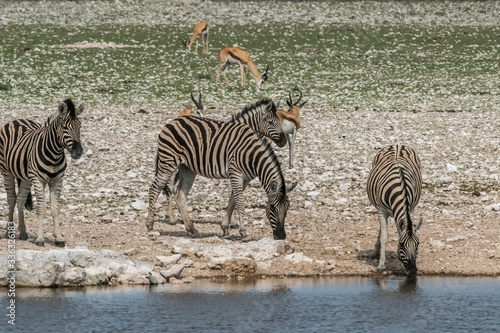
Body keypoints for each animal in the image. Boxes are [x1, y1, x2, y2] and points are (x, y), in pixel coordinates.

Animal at [0, 100, 84, 245]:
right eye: (64, 127)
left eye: (79, 126)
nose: (78, 152)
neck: (55, 155)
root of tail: (17, 120)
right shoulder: (38, 180)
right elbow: (41, 209)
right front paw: (40, 239)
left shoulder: (57, 181)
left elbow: (55, 209)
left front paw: (59, 237)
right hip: (7, 172)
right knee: (11, 199)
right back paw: (8, 232)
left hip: (26, 178)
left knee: (20, 199)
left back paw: (23, 233)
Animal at [148, 116, 296, 239]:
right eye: (272, 208)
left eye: (287, 208)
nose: (281, 236)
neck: (252, 155)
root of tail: (171, 121)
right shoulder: (235, 173)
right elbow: (240, 203)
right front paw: (243, 232)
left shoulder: (245, 179)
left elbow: (232, 201)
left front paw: (225, 228)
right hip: (168, 162)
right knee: (154, 189)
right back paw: (150, 225)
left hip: (187, 168)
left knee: (179, 195)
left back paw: (192, 229)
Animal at [366, 144, 424, 276]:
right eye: (402, 244)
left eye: (418, 244)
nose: (413, 271)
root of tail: (397, 144)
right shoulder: (381, 211)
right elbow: (384, 237)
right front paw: (381, 265)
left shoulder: (410, 209)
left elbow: (400, 231)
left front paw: (398, 256)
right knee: (381, 229)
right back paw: (376, 252)